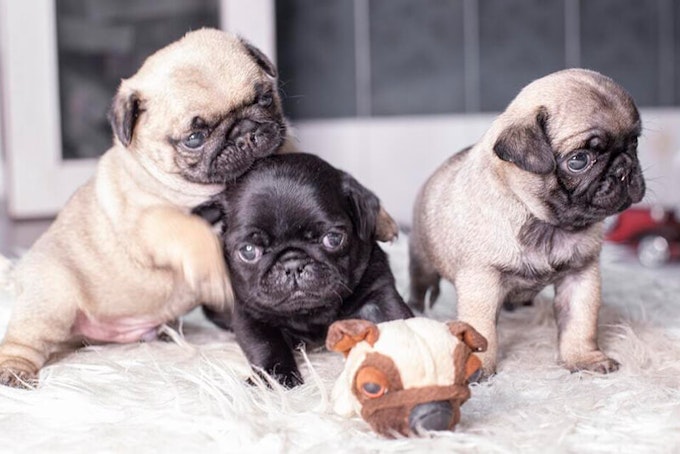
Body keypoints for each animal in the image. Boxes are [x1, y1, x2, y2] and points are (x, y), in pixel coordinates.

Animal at [0, 28, 290, 388]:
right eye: (194, 138)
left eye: (264, 98)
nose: (245, 133)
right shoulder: (151, 221)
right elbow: (195, 233)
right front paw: (217, 275)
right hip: (53, 297)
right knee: (25, 339)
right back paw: (14, 370)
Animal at [194, 153, 412, 386]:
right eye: (249, 251)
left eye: (333, 238)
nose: (292, 264)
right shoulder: (250, 315)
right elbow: (266, 346)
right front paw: (274, 379)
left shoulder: (378, 293)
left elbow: (399, 320)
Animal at [406, 68, 644, 376]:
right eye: (579, 160)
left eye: (635, 143)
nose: (624, 168)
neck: (545, 224)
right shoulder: (482, 280)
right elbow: (481, 329)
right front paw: (480, 368)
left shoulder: (581, 275)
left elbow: (580, 322)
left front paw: (583, 359)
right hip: (422, 260)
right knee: (421, 283)